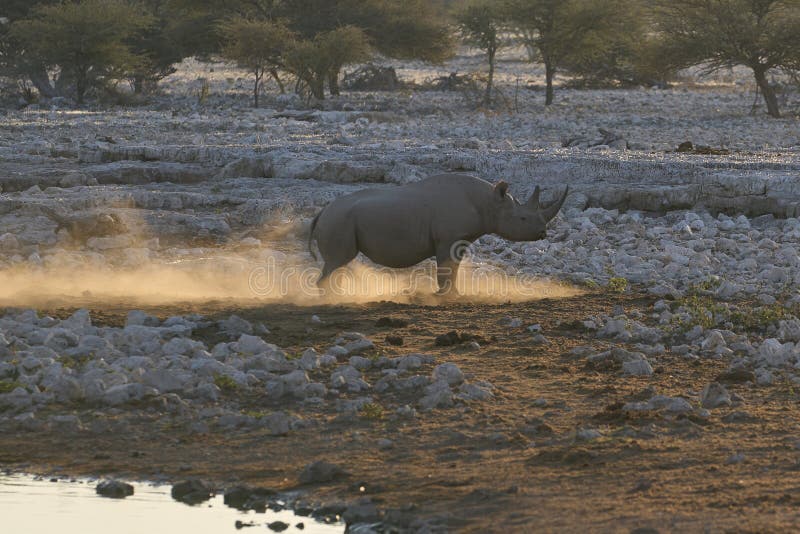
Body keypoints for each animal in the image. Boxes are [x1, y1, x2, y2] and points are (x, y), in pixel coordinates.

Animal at [308, 173, 568, 293]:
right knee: (337, 262)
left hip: (340, 220)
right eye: (523, 218)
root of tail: (322, 212)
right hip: (339, 220)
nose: (543, 233)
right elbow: (445, 268)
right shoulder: (447, 239)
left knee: (338, 265)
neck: (489, 203)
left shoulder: (460, 240)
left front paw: (456, 294)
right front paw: (445, 295)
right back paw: (331, 299)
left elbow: (453, 269)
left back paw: (339, 295)